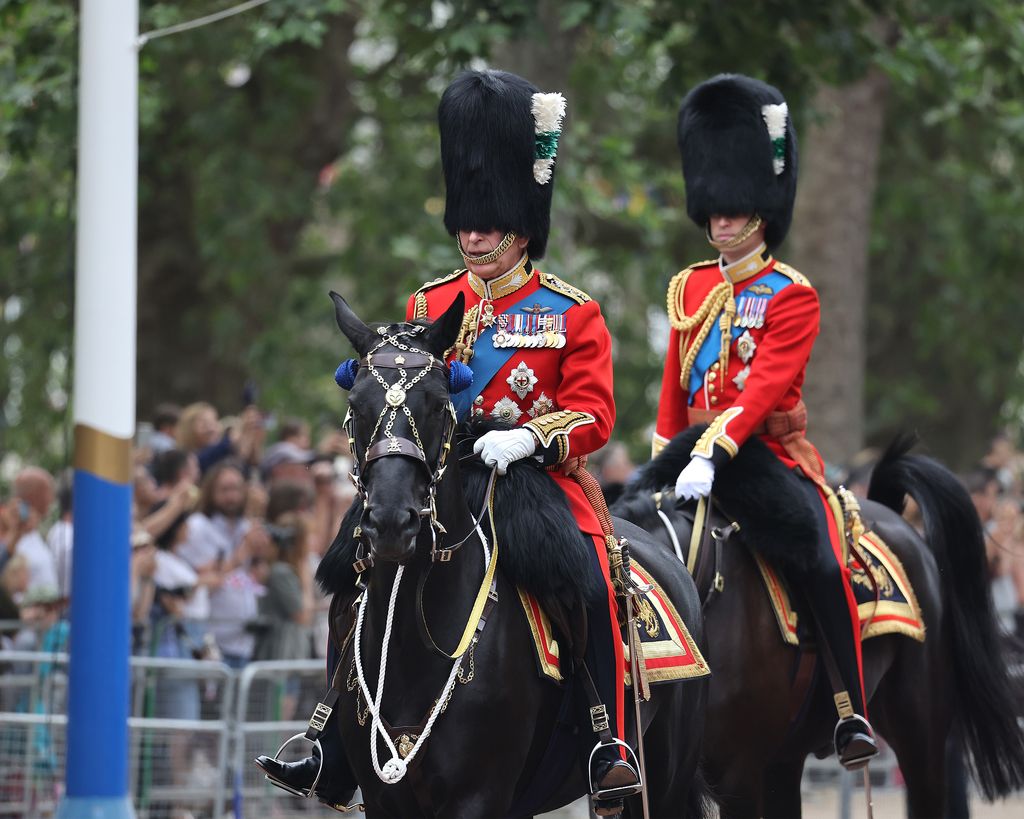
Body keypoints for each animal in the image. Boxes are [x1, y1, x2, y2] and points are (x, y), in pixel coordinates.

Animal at [319, 294, 712, 818]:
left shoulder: (478, 797)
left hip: (665, 777)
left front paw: (502, 445)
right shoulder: (386, 799)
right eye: (355, 407)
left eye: (439, 405)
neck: (414, 639)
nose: (390, 523)